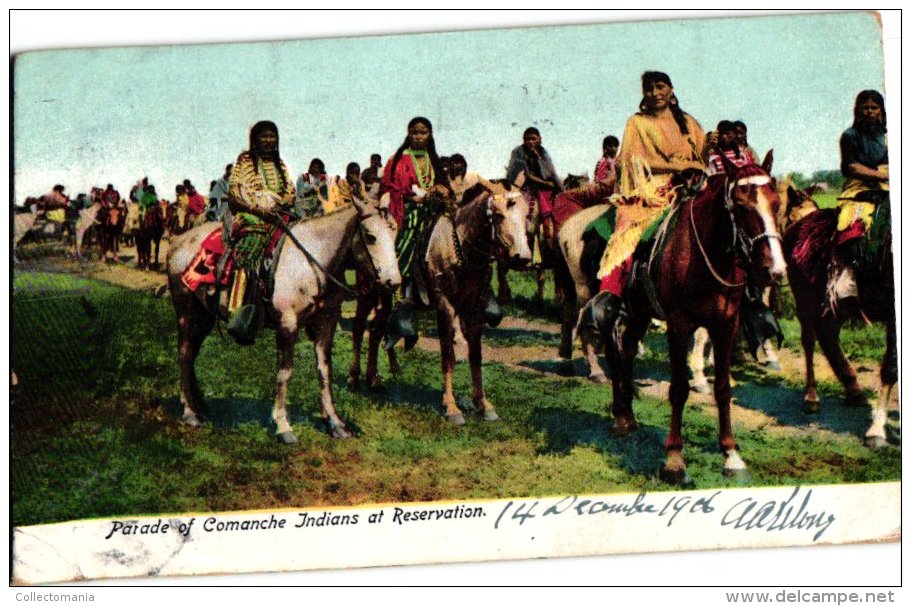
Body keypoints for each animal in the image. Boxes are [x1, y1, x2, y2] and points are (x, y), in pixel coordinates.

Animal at [166, 197, 400, 444]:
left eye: (394, 232)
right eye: (370, 236)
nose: (393, 282)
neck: (311, 263)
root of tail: (177, 242)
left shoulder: (326, 323)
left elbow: (324, 370)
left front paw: (334, 422)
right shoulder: (287, 325)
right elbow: (284, 372)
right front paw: (282, 425)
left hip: (204, 317)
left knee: (192, 353)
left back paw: (198, 403)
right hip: (186, 312)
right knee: (185, 354)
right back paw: (189, 412)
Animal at [600, 154, 784, 486]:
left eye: (776, 204)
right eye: (740, 204)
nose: (773, 270)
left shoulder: (726, 326)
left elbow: (723, 388)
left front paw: (731, 454)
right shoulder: (679, 325)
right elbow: (678, 389)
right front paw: (674, 460)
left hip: (640, 312)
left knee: (628, 348)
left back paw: (628, 415)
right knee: (613, 348)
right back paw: (619, 416)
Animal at [776, 185, 896, 446]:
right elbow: (891, 367)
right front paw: (876, 430)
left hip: (837, 305)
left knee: (828, 336)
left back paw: (853, 389)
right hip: (805, 301)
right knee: (810, 341)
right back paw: (812, 397)